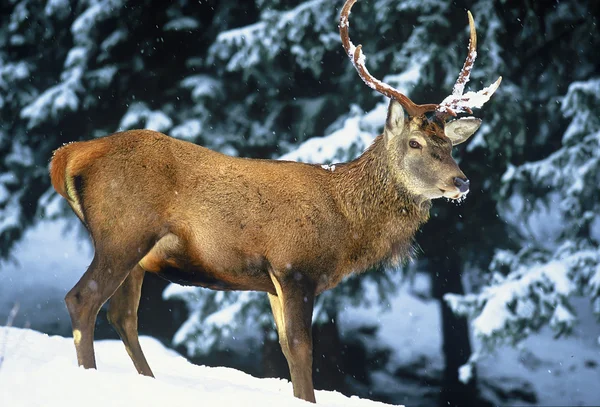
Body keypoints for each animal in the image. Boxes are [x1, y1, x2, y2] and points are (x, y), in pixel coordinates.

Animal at [50, 0, 502, 404]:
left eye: (450, 145)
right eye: (415, 142)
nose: (461, 182)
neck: (346, 225)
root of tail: (68, 154)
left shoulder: (273, 281)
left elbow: (286, 348)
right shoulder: (294, 265)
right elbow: (303, 350)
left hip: (138, 254)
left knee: (122, 316)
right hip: (123, 230)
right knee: (83, 299)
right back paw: (89, 377)